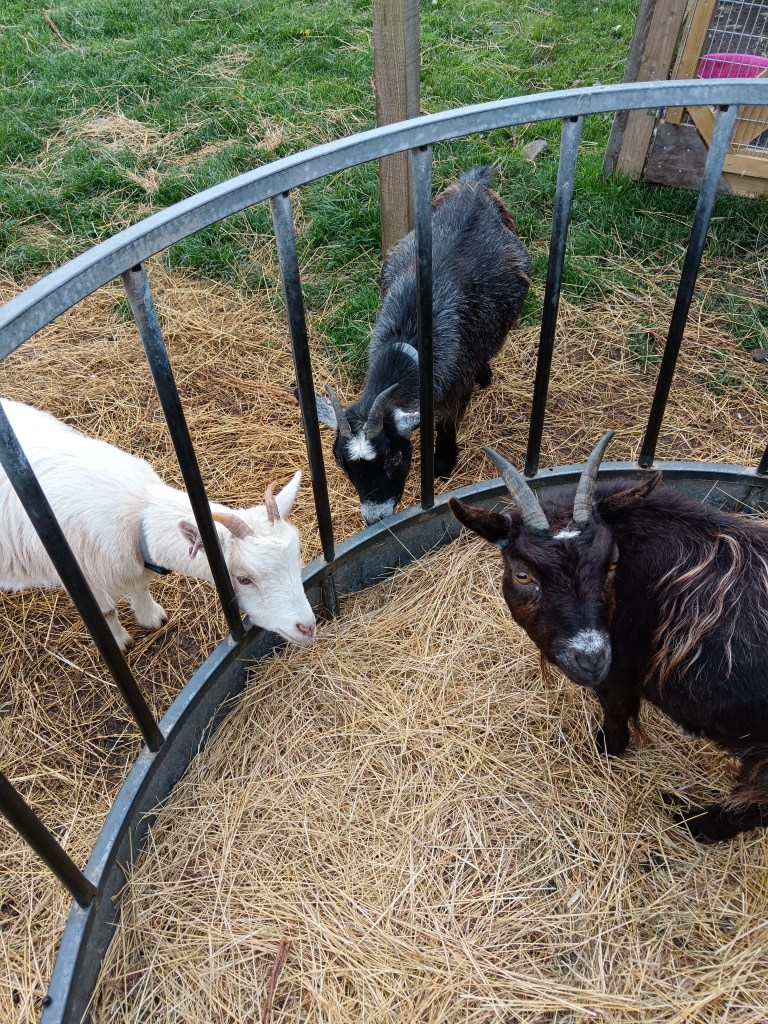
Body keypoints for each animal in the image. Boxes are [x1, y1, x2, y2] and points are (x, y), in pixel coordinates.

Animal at [0, 398, 316, 651]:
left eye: (297, 557)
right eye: (243, 579)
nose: (307, 627)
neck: (140, 514)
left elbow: (141, 586)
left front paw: (151, 617)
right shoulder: (87, 580)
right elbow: (107, 612)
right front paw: (120, 641)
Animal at [315, 166, 531, 526]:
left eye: (394, 458)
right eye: (341, 464)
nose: (375, 518)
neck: (409, 339)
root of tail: (474, 184)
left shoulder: (456, 384)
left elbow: (446, 424)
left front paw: (443, 463)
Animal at [450, 433, 768, 843]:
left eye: (613, 563)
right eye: (522, 575)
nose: (591, 659)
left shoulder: (621, 673)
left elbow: (617, 714)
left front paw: (605, 749)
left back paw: (693, 822)